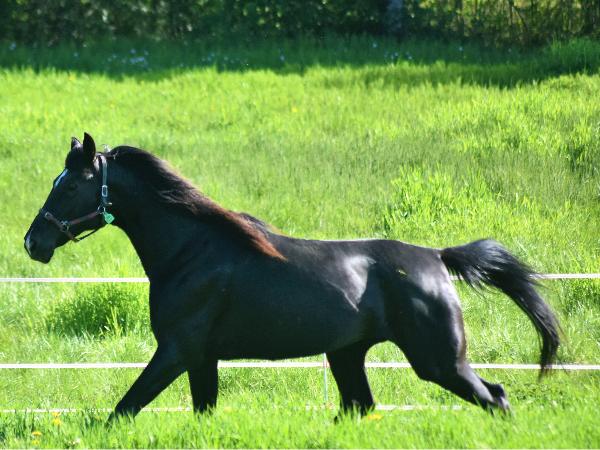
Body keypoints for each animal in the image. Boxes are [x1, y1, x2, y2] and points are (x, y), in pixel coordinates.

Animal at [24, 133, 560, 419]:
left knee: (495, 396)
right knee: (361, 408)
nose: (33, 242)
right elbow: (200, 412)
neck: (191, 253)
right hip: (348, 356)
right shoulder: (201, 358)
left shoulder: (176, 351)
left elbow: (121, 411)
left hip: (439, 361)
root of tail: (435, 257)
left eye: (68, 185)